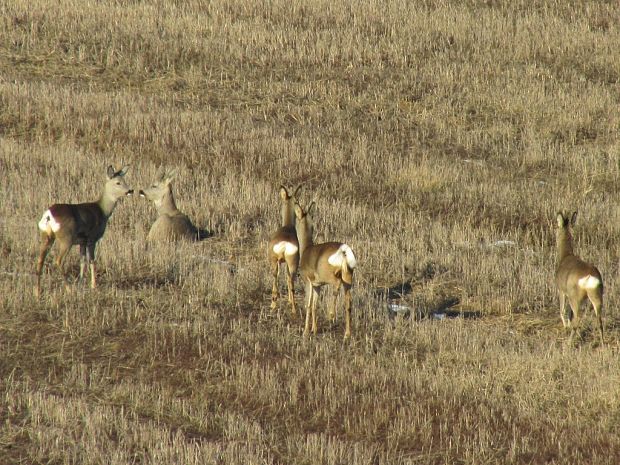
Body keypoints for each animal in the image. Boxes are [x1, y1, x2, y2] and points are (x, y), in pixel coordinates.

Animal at [35, 164, 133, 294]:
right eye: (118, 182)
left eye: (124, 180)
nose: (130, 190)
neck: (103, 211)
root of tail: (49, 215)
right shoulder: (92, 238)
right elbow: (92, 260)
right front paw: (93, 285)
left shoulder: (82, 241)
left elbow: (82, 261)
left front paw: (81, 282)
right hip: (66, 238)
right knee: (58, 261)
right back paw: (68, 289)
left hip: (46, 236)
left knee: (40, 260)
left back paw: (37, 292)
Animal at [268, 184, 302, 316]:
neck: (288, 227)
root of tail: (285, 243)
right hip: (289, 264)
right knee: (287, 280)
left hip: (279, 262)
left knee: (280, 279)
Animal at [296, 199, 358, 338]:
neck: (306, 249)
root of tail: (344, 250)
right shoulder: (317, 285)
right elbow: (315, 305)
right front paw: (314, 329)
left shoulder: (308, 281)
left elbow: (308, 305)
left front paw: (306, 331)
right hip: (348, 277)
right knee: (349, 302)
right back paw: (347, 334)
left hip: (330, 275)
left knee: (337, 285)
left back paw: (331, 314)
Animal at [556, 211, 604, 344]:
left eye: (556, 229)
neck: (565, 256)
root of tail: (589, 276)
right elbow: (570, 314)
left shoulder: (561, 290)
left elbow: (562, 310)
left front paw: (565, 327)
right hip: (596, 295)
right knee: (599, 321)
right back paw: (603, 345)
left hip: (575, 296)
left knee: (577, 319)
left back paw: (568, 344)